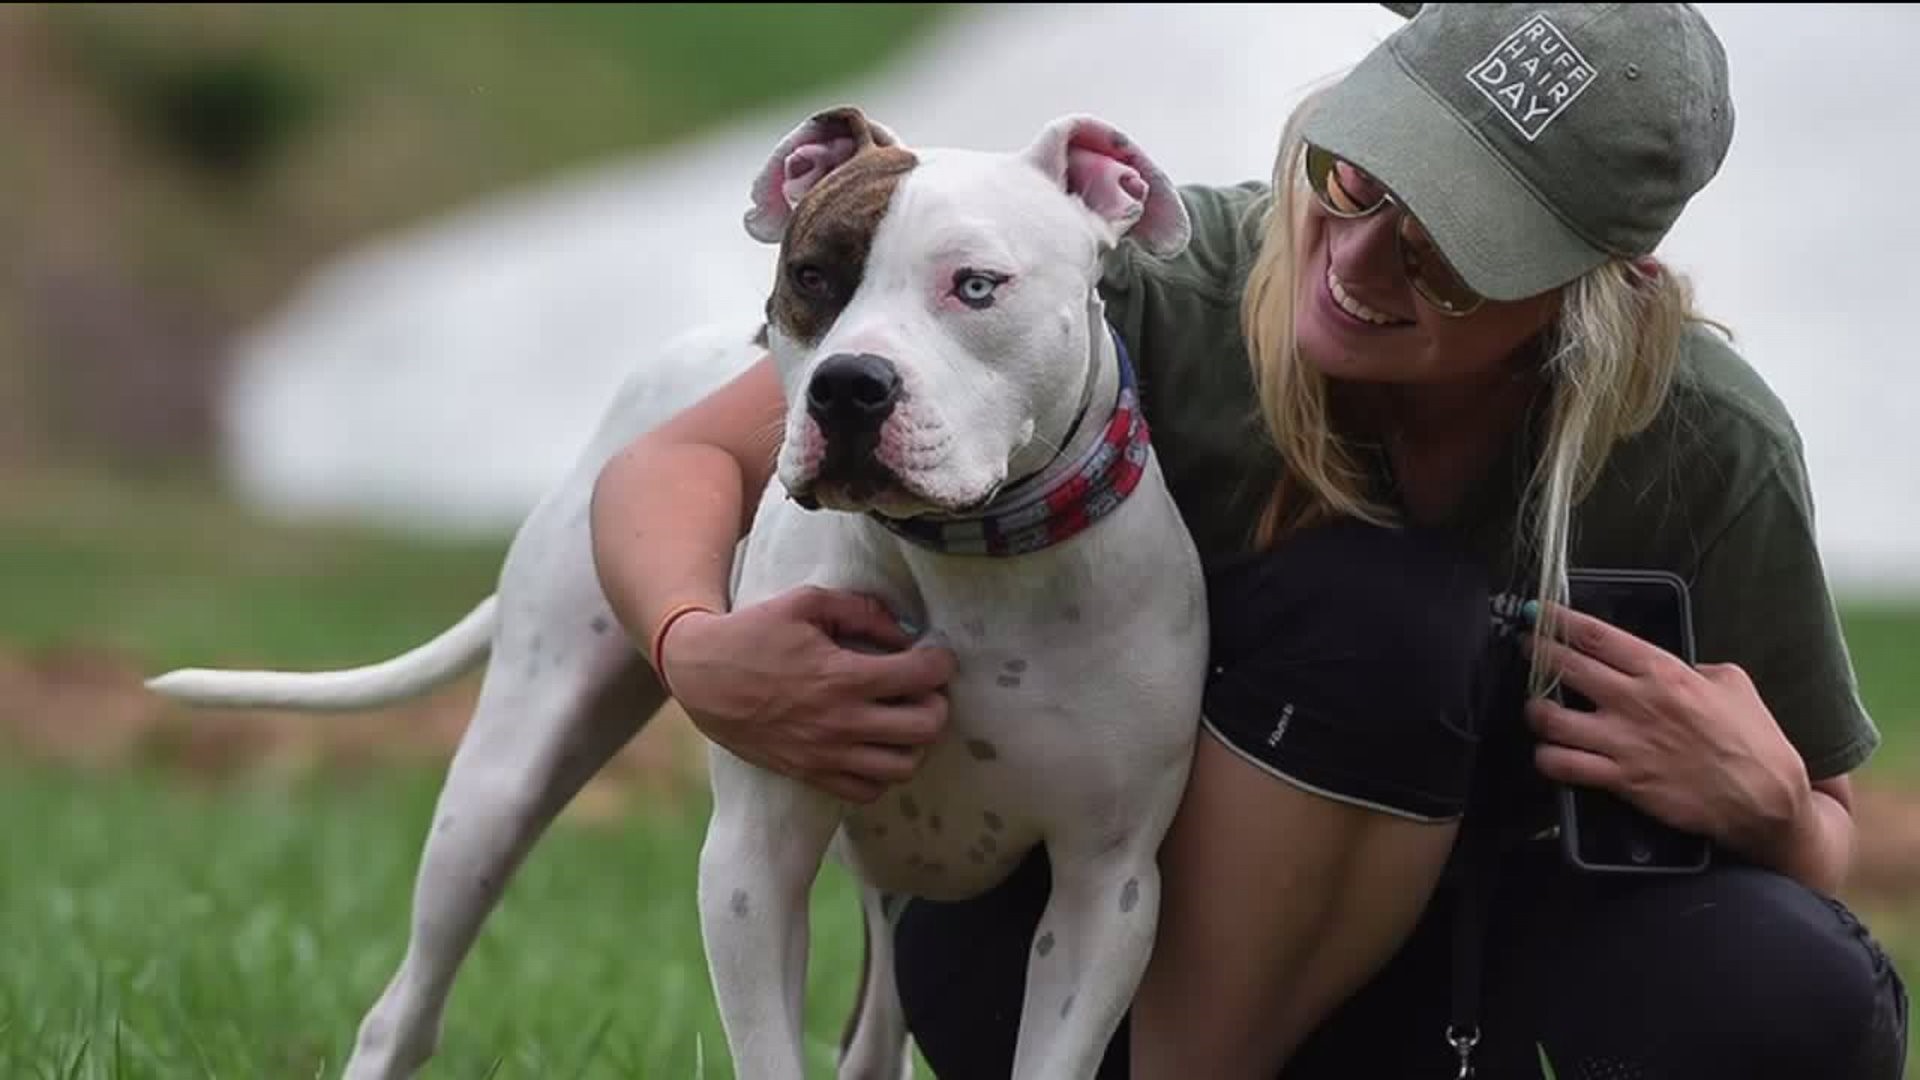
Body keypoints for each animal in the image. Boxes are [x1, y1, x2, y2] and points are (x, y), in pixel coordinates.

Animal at [145, 107, 1198, 1076]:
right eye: (812, 277)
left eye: (975, 286)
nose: (847, 387)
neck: (967, 561)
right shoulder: (750, 863)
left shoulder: (1104, 893)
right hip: (498, 788)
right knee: (405, 1007)